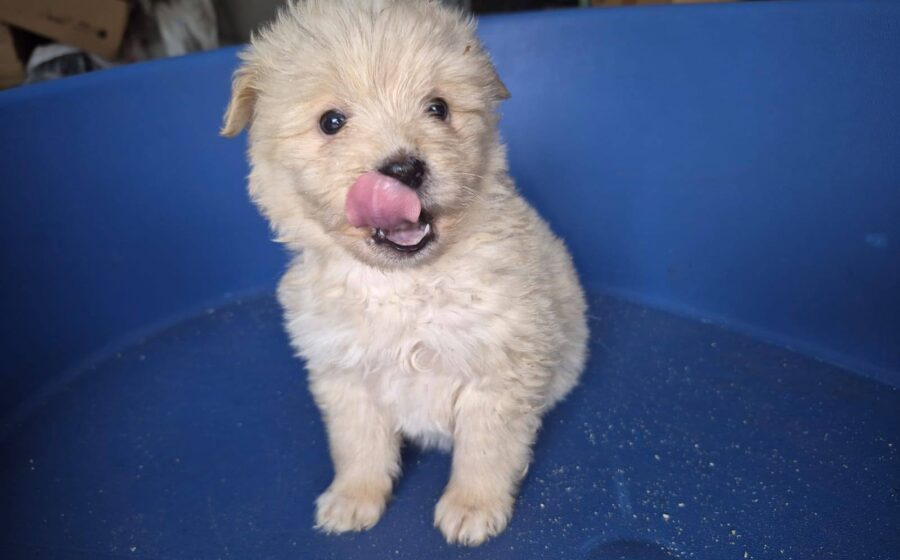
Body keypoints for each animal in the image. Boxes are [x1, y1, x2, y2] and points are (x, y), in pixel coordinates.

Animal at [222, 0, 587, 546]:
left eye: (438, 108)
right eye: (331, 121)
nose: (403, 171)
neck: (402, 284)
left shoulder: (499, 370)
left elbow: (485, 447)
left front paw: (473, 506)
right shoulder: (344, 374)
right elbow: (358, 445)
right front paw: (353, 497)